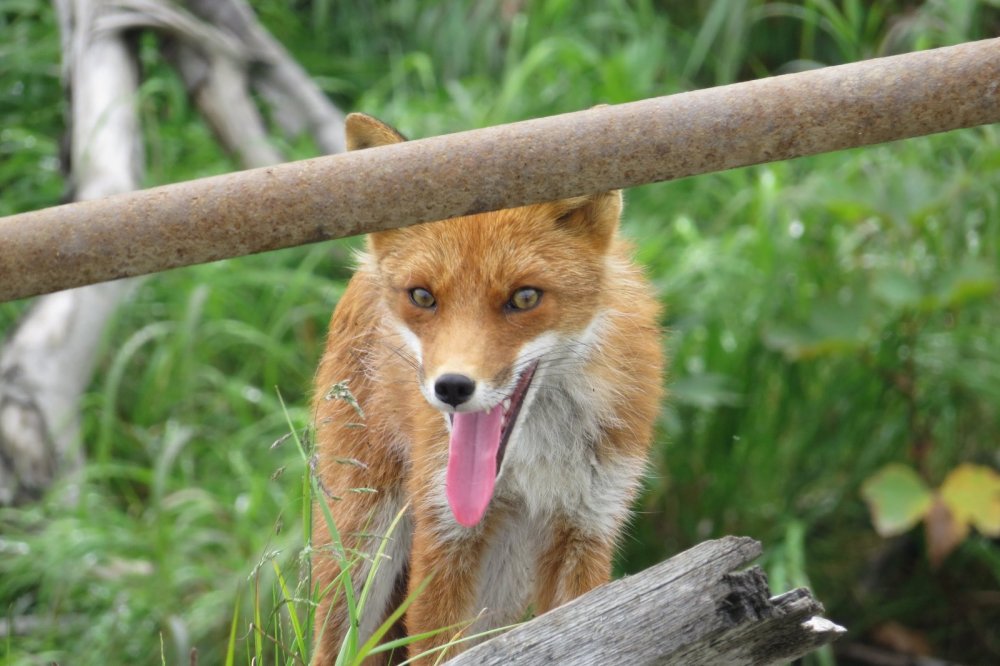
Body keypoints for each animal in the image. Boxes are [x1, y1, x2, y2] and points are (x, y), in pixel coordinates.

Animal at [310, 113, 663, 664]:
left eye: (524, 298)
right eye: (422, 297)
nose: (452, 387)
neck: (532, 468)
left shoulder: (586, 526)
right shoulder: (446, 535)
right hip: (361, 553)